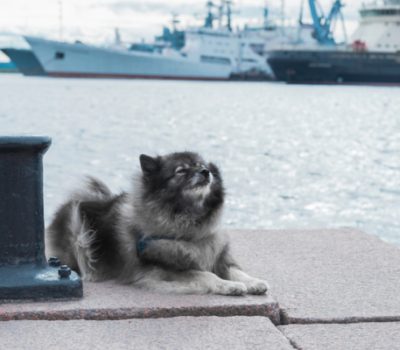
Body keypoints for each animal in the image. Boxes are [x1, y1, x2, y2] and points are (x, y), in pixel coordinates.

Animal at [47, 151, 268, 296]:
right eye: (181, 171)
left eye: (201, 165)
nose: (206, 172)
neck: (189, 226)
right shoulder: (163, 272)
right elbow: (204, 275)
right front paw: (228, 285)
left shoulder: (218, 256)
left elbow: (236, 271)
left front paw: (253, 282)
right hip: (79, 231)